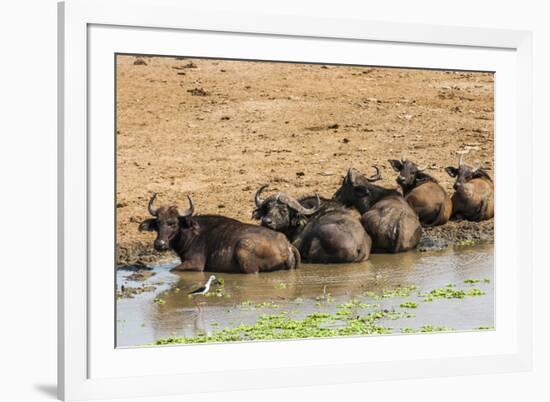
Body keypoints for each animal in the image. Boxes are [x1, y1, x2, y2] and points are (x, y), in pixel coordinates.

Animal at [138, 192, 302, 274]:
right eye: (158, 223)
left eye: (173, 223)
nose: (160, 244)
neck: (191, 233)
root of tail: (286, 245)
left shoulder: (196, 264)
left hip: (244, 250)